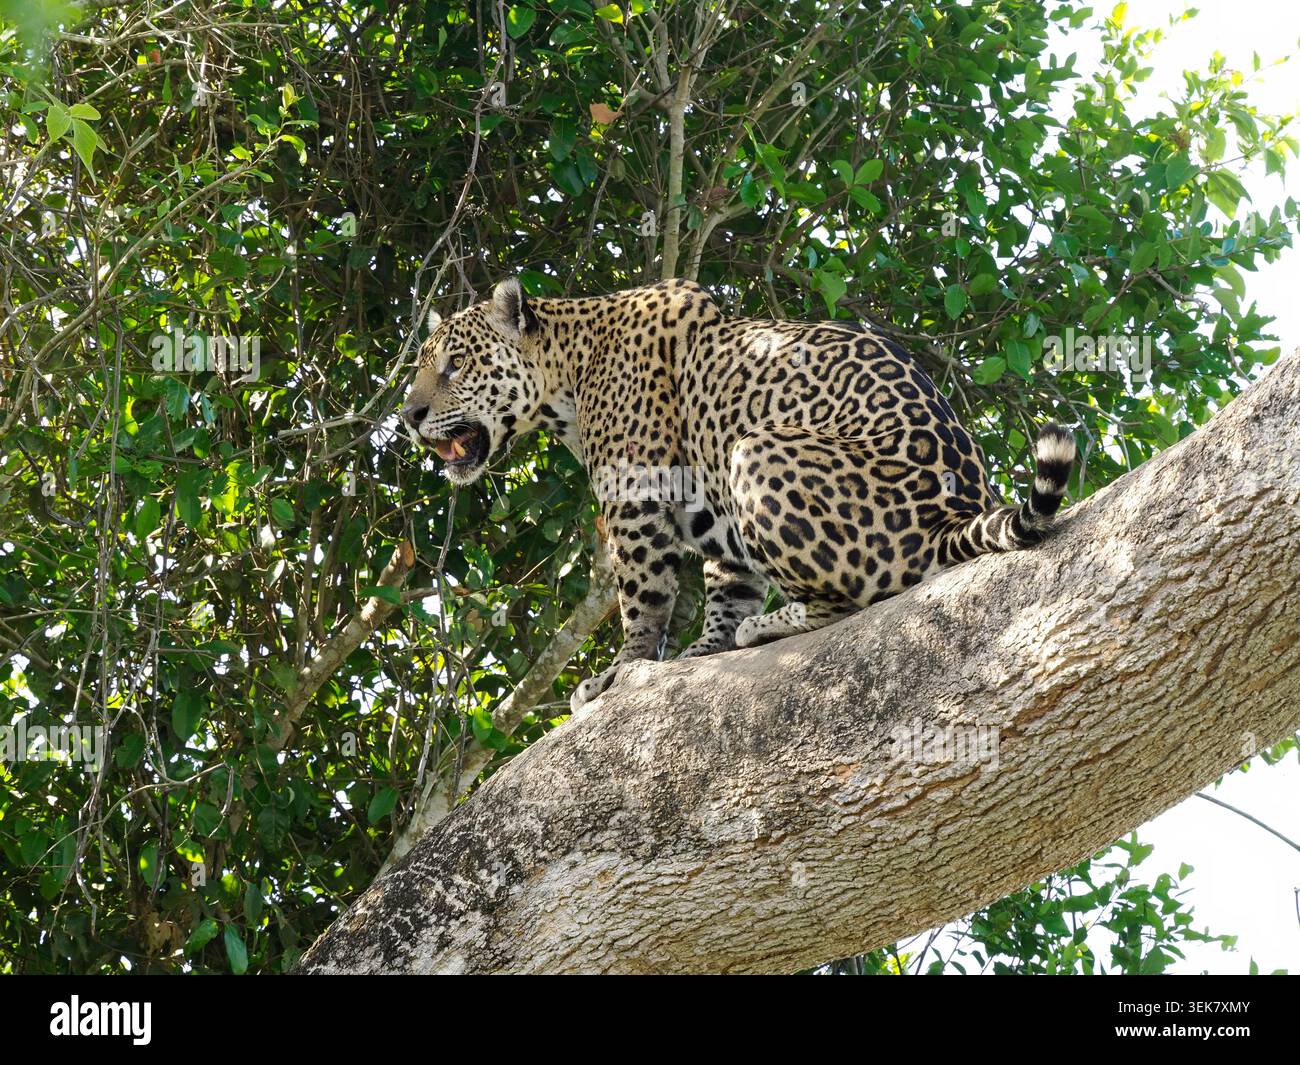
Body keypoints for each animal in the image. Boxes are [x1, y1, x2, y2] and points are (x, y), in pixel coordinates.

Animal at [402, 277, 1076, 713]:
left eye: (455, 365)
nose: (408, 415)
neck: (567, 373)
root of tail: (955, 514)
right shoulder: (708, 505)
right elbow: (727, 584)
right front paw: (702, 651)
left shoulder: (634, 497)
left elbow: (643, 598)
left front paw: (620, 672)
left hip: (755, 449)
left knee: (852, 599)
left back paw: (774, 625)